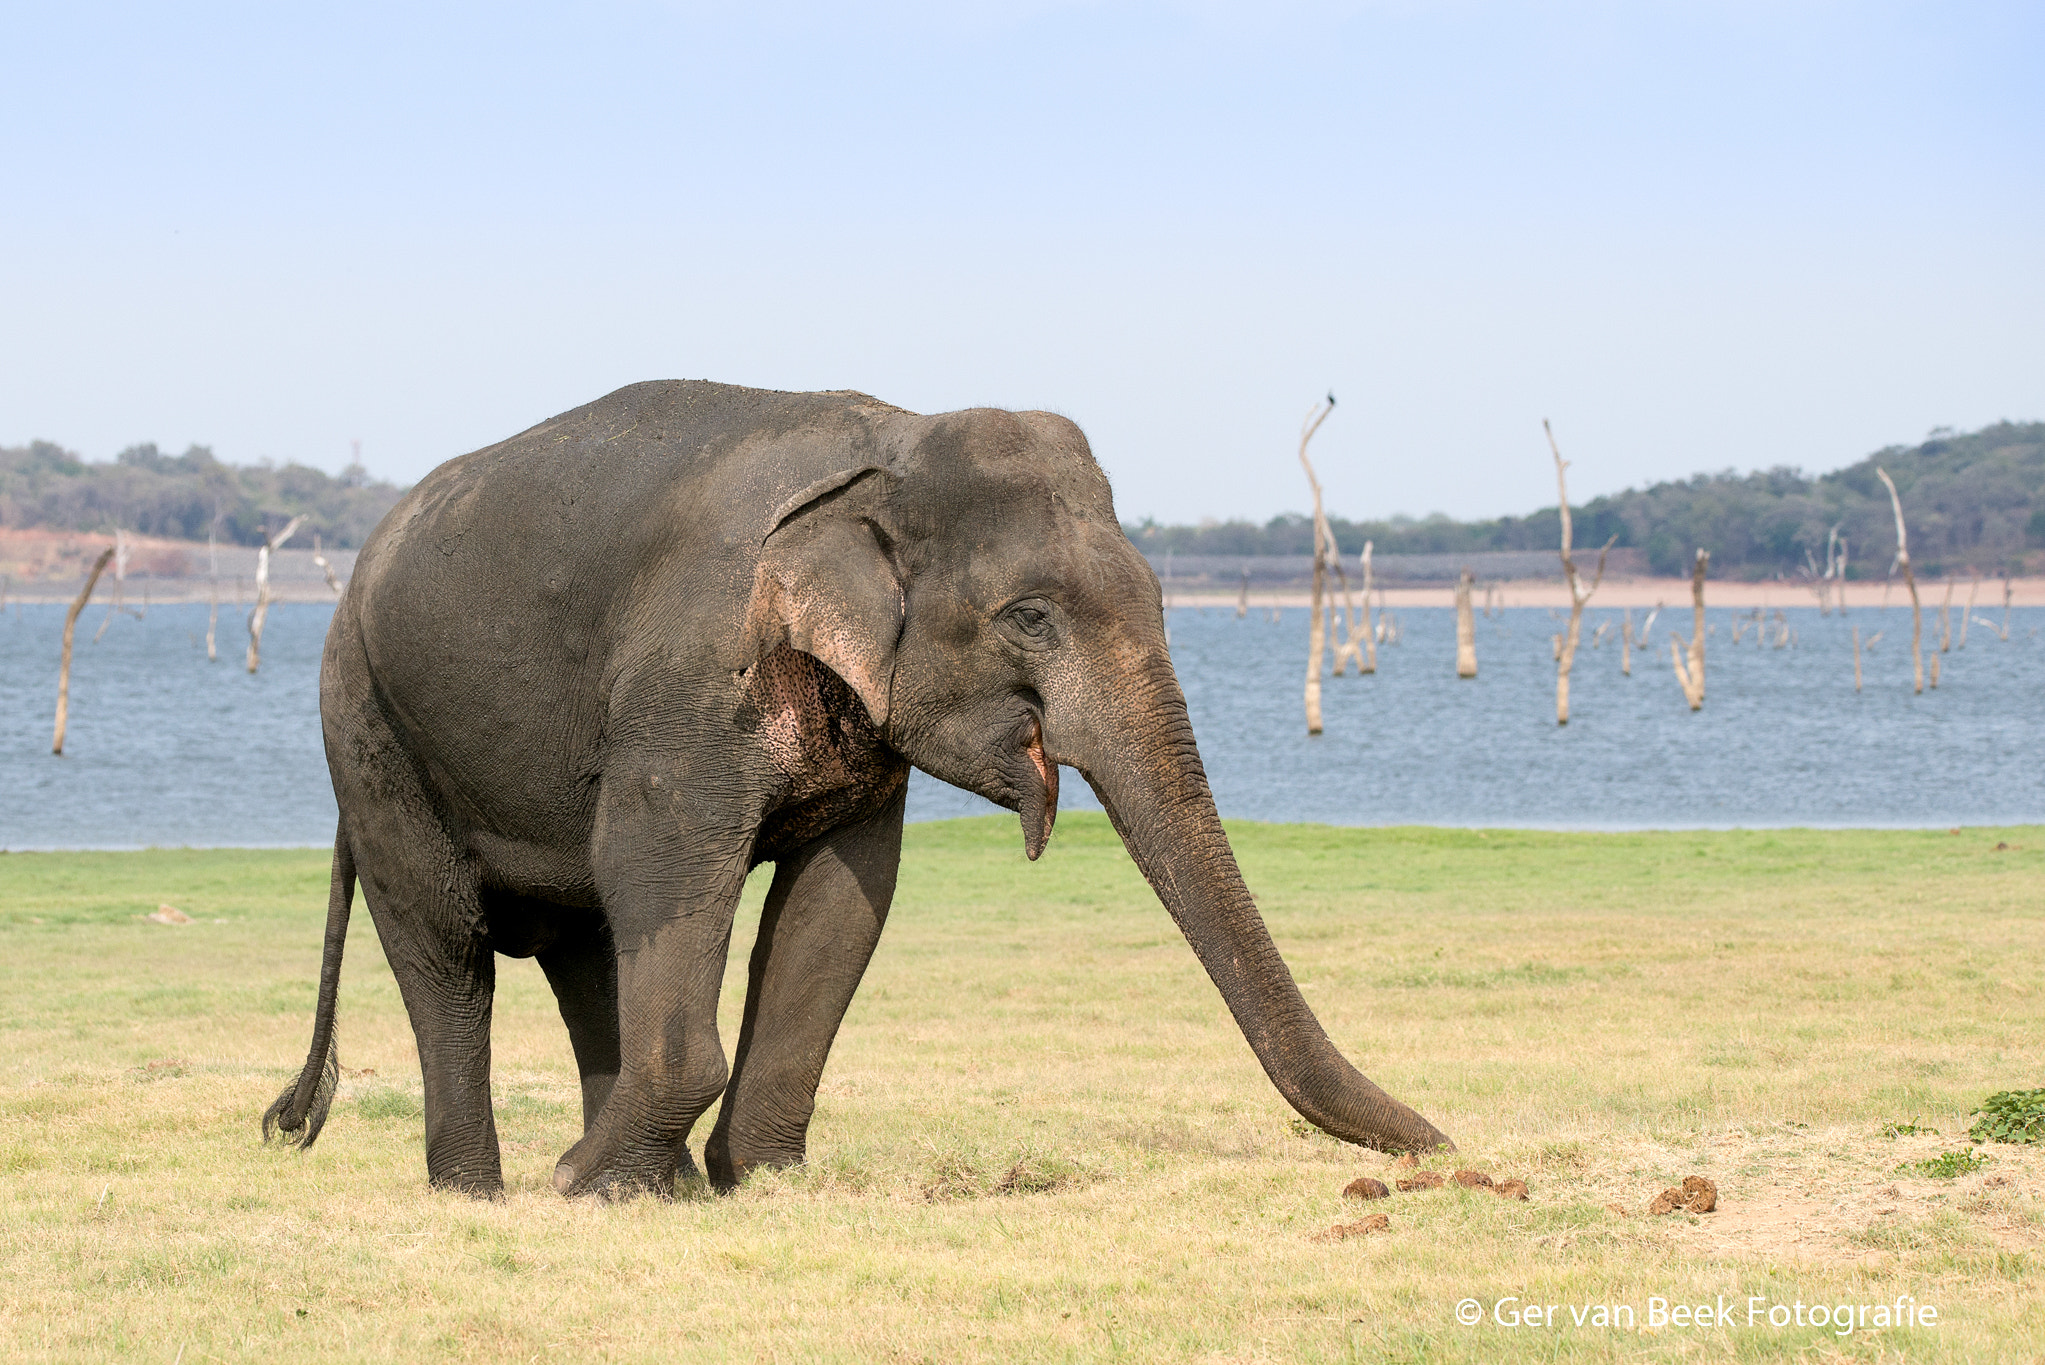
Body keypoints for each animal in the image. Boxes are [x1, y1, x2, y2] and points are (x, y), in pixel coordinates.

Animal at [263, 379, 1451, 1197]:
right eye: (1028, 616)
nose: (1444, 1145)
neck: (891, 440)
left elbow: (840, 900)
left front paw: (751, 1179)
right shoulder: (692, 670)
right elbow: (663, 861)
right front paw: (584, 1189)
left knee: (585, 944)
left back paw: (636, 1175)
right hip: (364, 723)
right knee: (447, 944)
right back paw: (488, 1187)